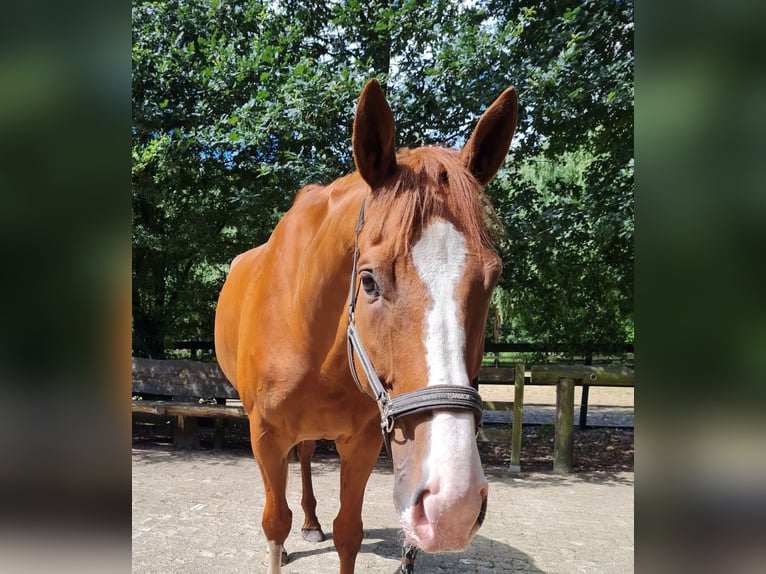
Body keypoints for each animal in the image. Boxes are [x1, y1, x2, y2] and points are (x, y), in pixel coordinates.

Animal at [213, 79, 520, 572]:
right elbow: (274, 524)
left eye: (492, 279)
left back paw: (311, 520)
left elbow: (348, 533)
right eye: (369, 280)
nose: (452, 506)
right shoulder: (264, 436)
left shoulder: (361, 443)